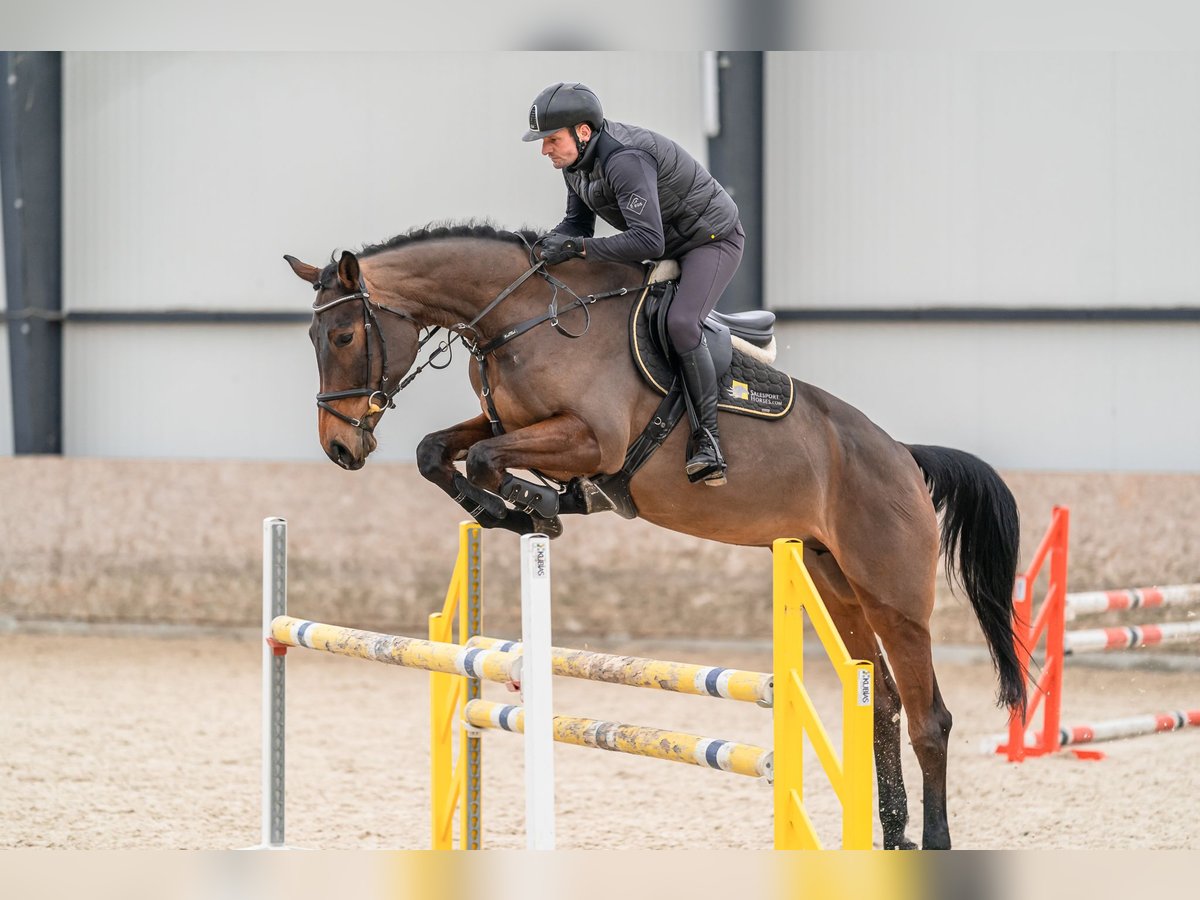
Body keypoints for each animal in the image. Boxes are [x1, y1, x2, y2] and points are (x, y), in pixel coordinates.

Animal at [285, 224, 1027, 854]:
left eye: (344, 335)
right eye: (317, 338)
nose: (339, 447)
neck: (523, 316)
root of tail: (903, 454)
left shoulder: (590, 439)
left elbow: (489, 459)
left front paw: (536, 508)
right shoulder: (509, 423)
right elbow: (437, 451)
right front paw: (515, 510)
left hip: (894, 597)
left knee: (931, 719)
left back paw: (933, 841)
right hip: (834, 583)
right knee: (885, 704)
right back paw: (893, 835)